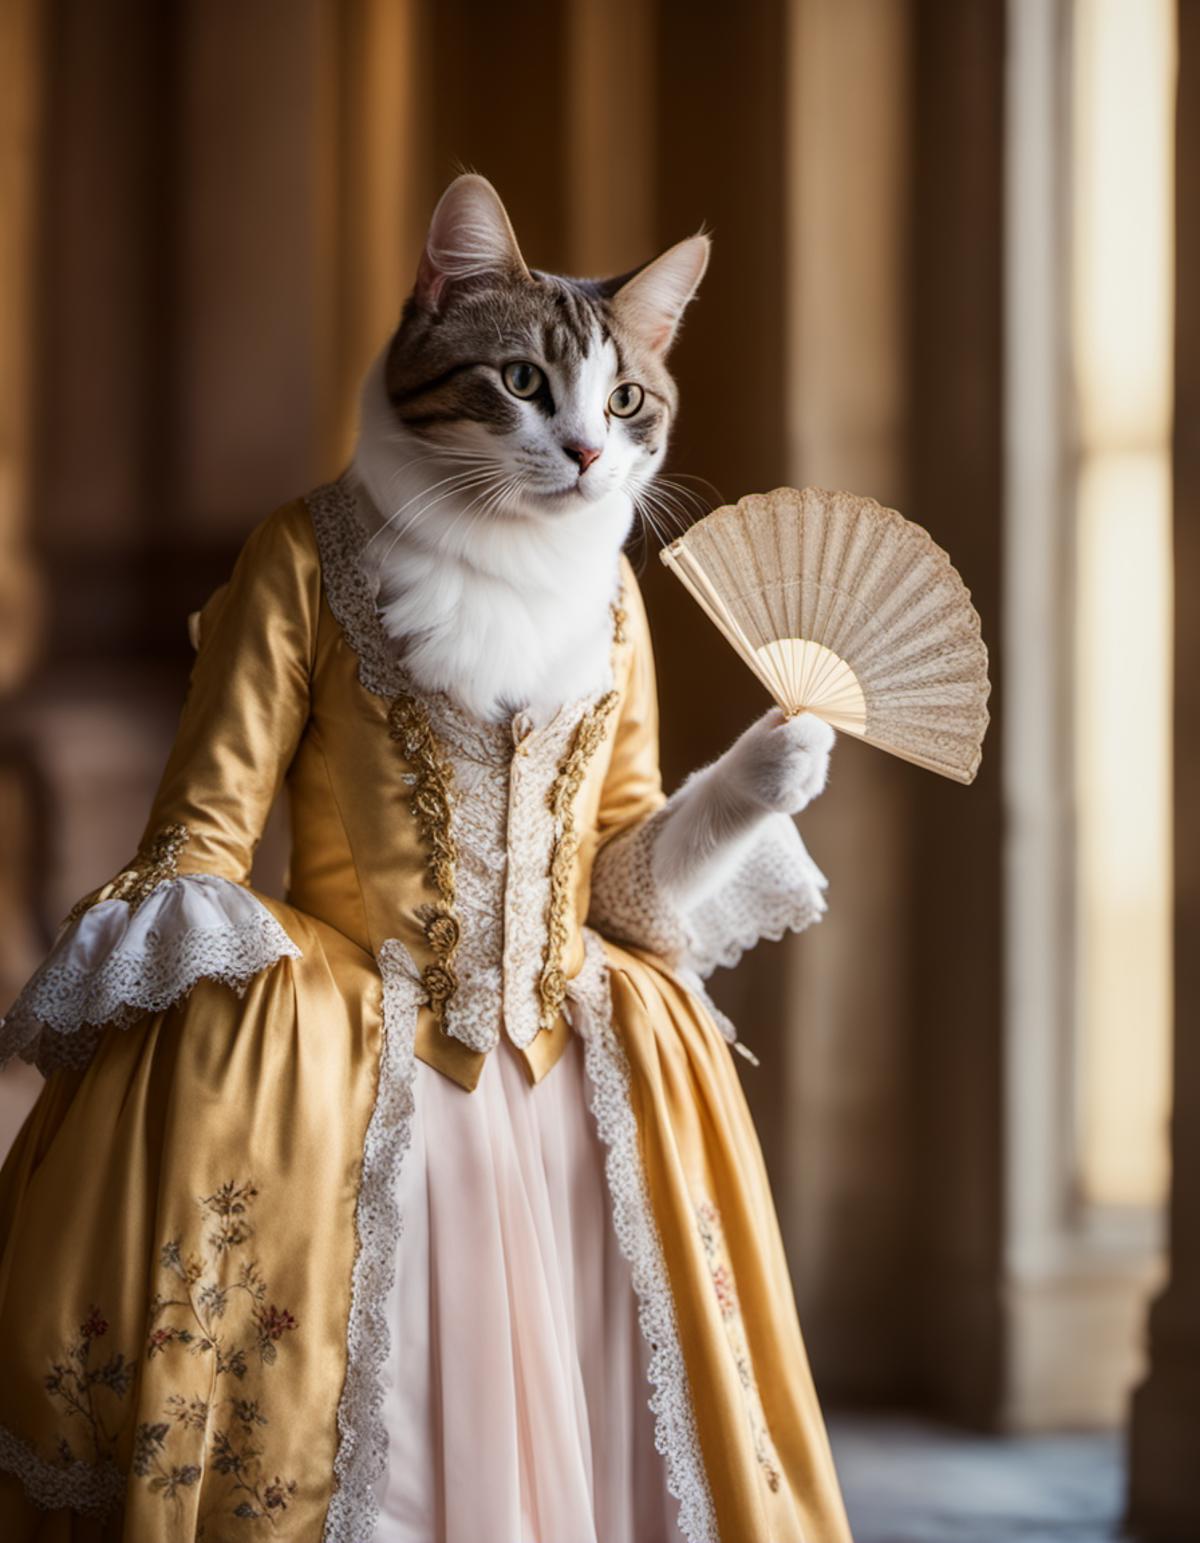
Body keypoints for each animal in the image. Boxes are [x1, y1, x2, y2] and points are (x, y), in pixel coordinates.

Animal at [350, 175, 826, 901]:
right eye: (521, 379)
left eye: (625, 399)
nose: (587, 452)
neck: (520, 552)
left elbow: (635, 870)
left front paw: (778, 751)